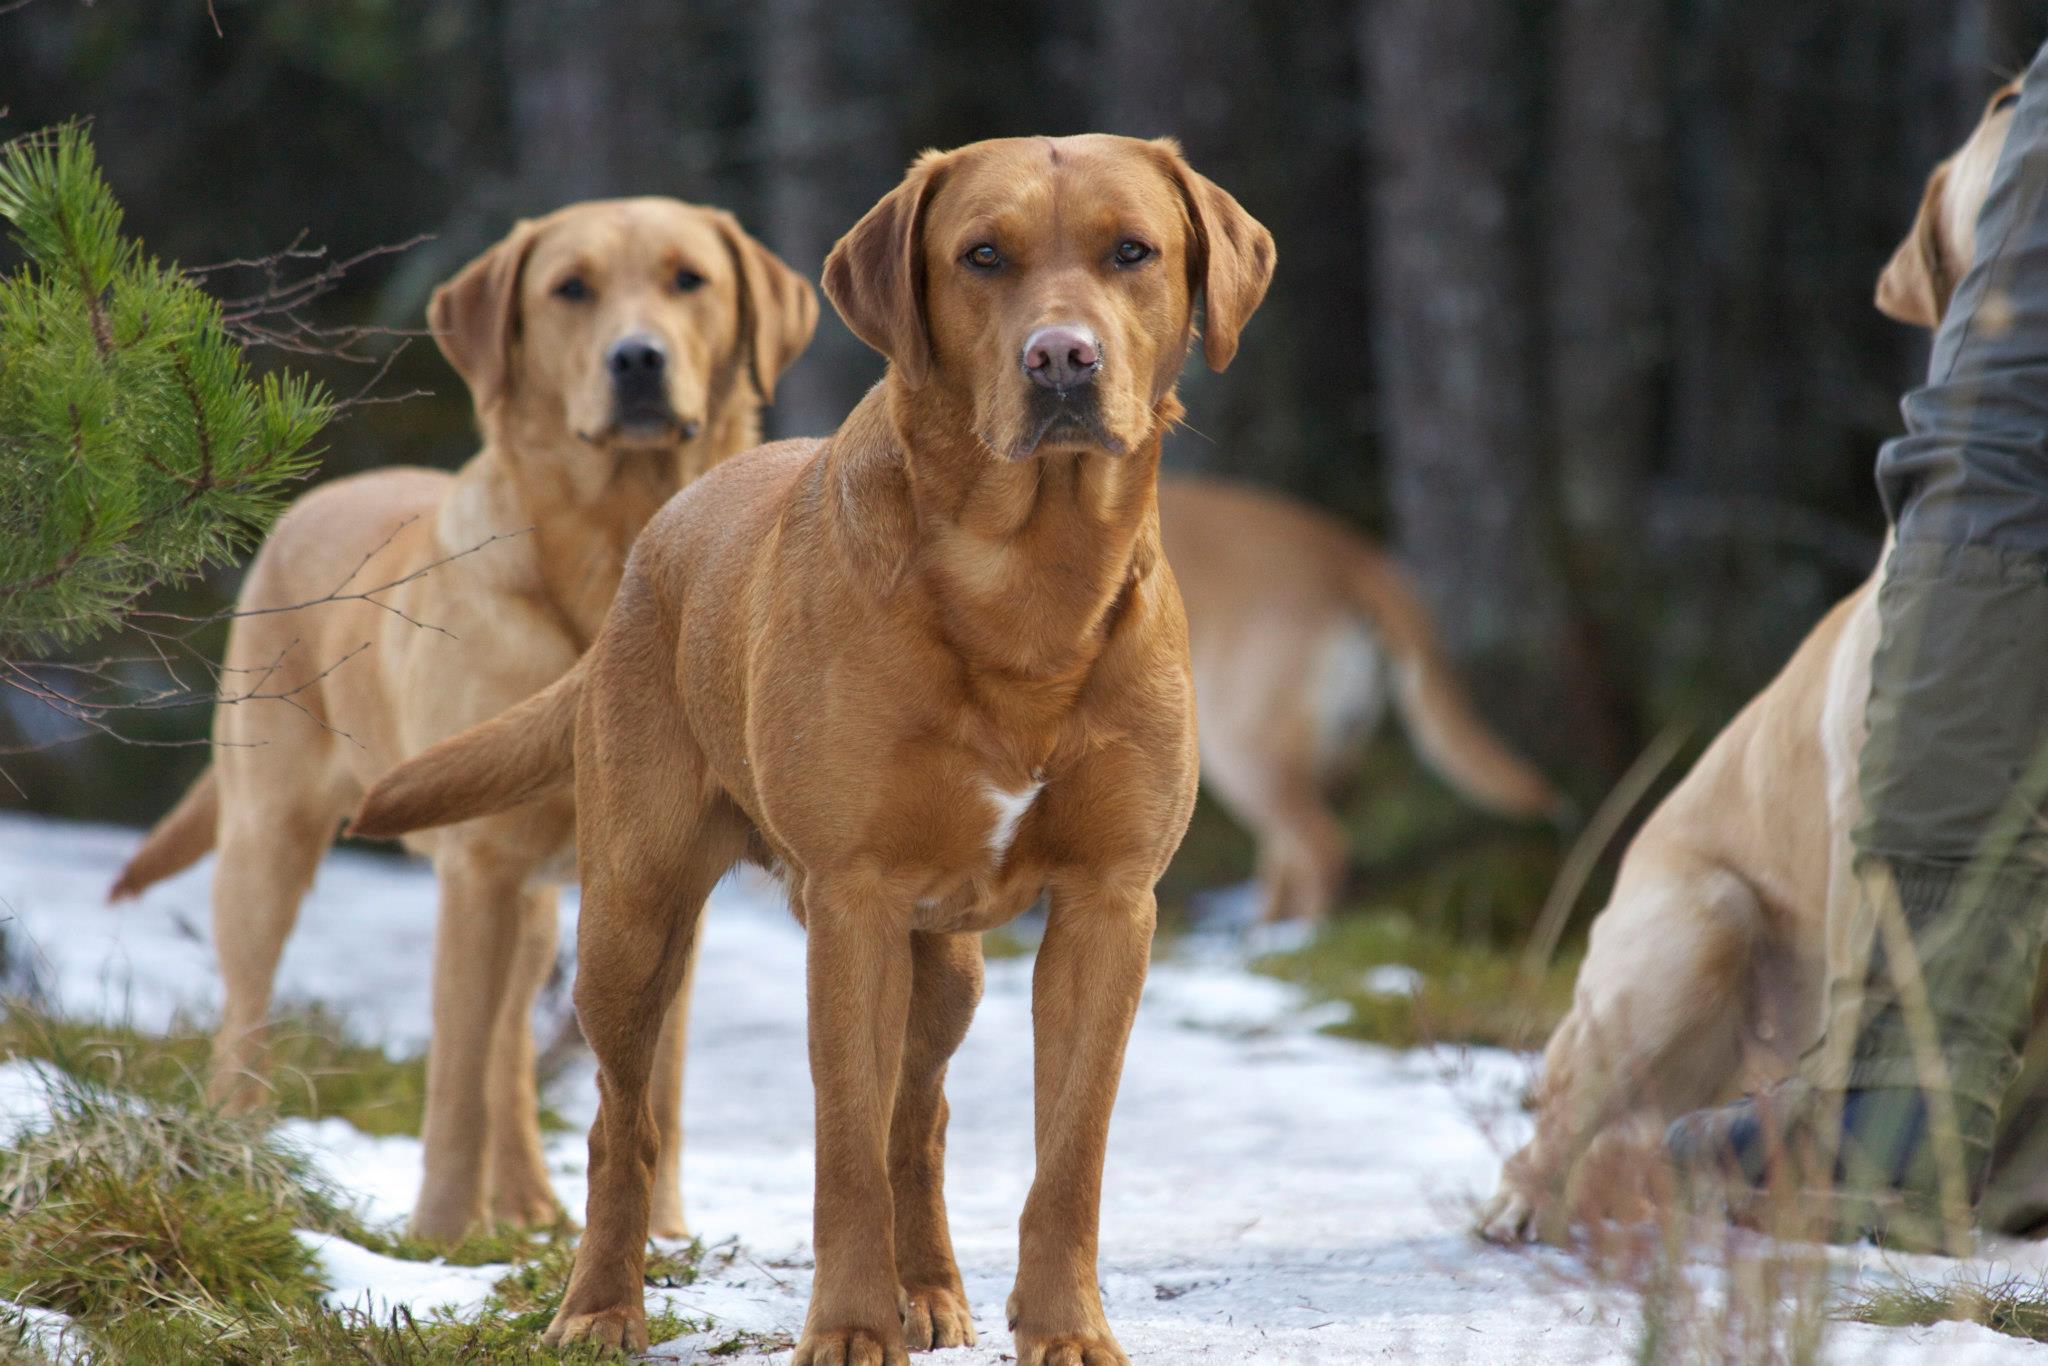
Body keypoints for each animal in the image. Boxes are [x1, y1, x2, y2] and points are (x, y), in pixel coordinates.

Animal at [112, 197, 811, 1245]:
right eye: (571, 289)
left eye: (691, 279)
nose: (637, 360)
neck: (609, 555)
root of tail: (306, 503)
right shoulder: (477, 865)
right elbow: (452, 1080)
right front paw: (440, 1236)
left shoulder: (654, 874)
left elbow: (653, 1081)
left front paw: (663, 1234)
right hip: (271, 843)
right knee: (250, 1017)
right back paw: (238, 1158)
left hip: (536, 901)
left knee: (514, 1053)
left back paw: (526, 1201)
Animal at [360, 133, 1269, 1359]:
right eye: (981, 256)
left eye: (1133, 251)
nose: (1060, 358)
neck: (1026, 584)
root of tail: (652, 540)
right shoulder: (854, 898)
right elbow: (839, 1147)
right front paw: (845, 1328)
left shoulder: (1109, 902)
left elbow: (1064, 1156)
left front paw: (1064, 1327)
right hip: (632, 917)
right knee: (621, 1122)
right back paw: (600, 1306)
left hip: (947, 964)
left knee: (919, 1117)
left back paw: (928, 1288)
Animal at [1163, 475, 1556, 925]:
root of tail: (1349, 554)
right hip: (1300, 754)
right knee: (1290, 855)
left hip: (1240, 748)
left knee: (1322, 850)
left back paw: (1301, 934)